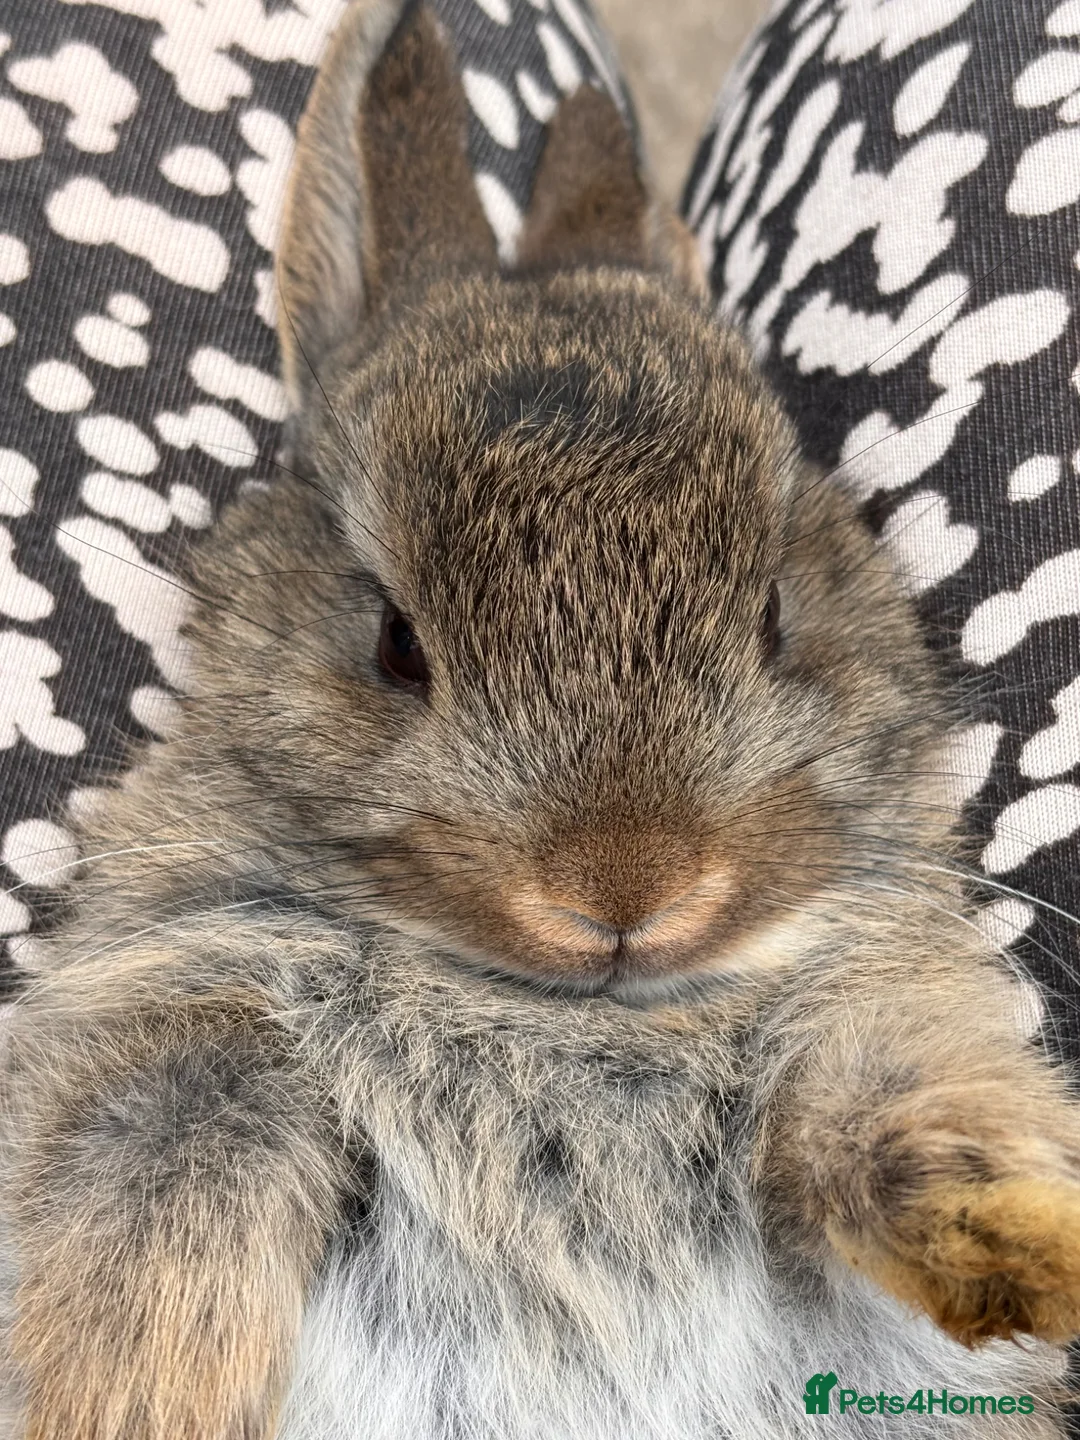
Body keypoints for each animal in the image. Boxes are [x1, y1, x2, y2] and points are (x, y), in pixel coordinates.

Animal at [3, 0, 1080, 1436]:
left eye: (774, 612)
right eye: (396, 644)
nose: (628, 890)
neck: (575, 1010)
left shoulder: (865, 1028)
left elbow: (885, 1124)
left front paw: (1039, 1251)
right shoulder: (180, 1021)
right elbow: (178, 1163)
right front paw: (125, 1400)